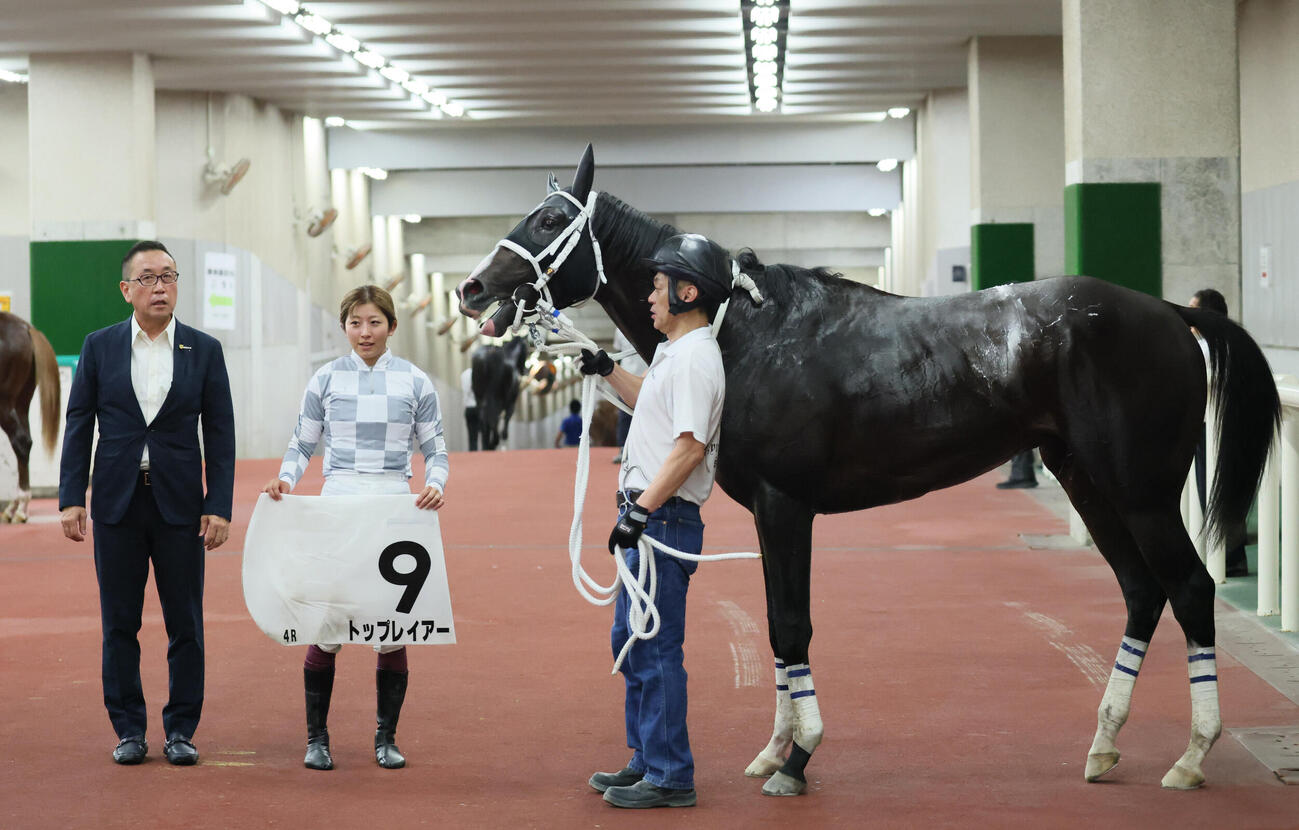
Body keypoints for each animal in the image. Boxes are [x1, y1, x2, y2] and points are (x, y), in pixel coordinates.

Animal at [0, 312, 61, 523]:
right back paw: (15, 507)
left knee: (20, 442)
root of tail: (26, 327)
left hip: (5, 403)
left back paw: (19, 506)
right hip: (21, 403)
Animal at [455, 145, 1281, 794]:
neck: (745, 331)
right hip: (1086, 481)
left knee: (1188, 588)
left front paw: (798, 759)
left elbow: (791, 624)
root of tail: (1170, 311)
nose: (472, 288)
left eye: (548, 221)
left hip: (1140, 493)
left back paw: (1191, 755)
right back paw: (1104, 744)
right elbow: (776, 624)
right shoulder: (769, 512)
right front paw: (774, 749)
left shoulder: (785, 504)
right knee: (1142, 591)